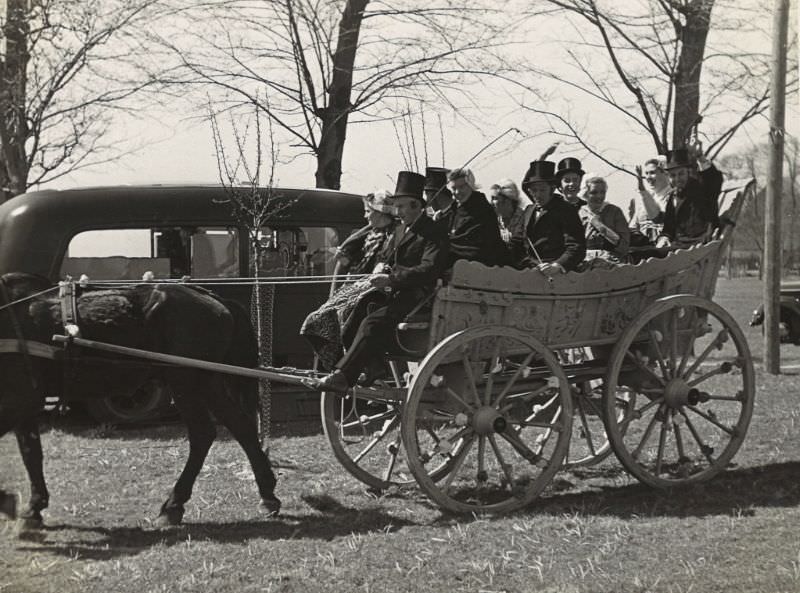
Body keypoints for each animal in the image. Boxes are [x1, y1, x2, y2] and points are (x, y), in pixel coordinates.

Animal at [0, 272, 282, 528]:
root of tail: (216, 300)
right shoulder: (25, 403)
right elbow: (31, 452)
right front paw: (34, 507)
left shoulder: (20, 399)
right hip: (206, 382)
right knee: (241, 427)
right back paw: (267, 494)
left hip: (184, 381)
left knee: (203, 433)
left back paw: (173, 505)